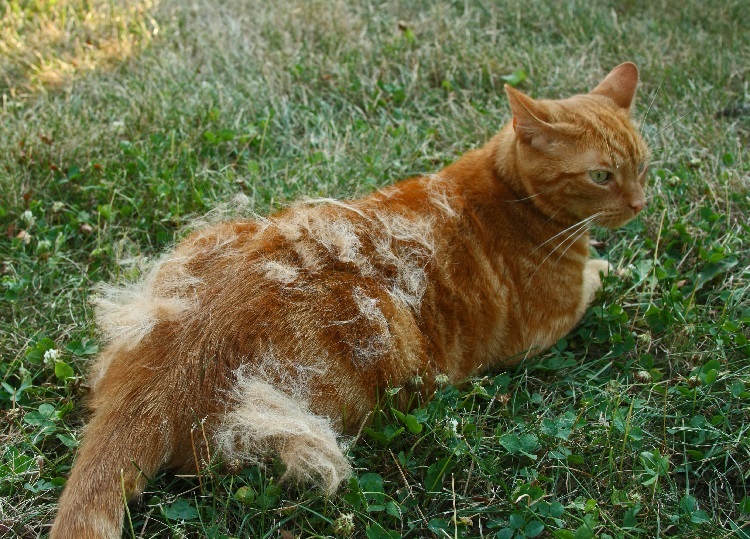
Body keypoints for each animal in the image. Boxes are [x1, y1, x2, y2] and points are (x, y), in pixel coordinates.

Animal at [53, 62, 652, 536]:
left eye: (643, 166)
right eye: (602, 175)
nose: (640, 204)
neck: (508, 188)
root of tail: (166, 369)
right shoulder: (551, 323)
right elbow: (598, 277)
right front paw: (612, 265)